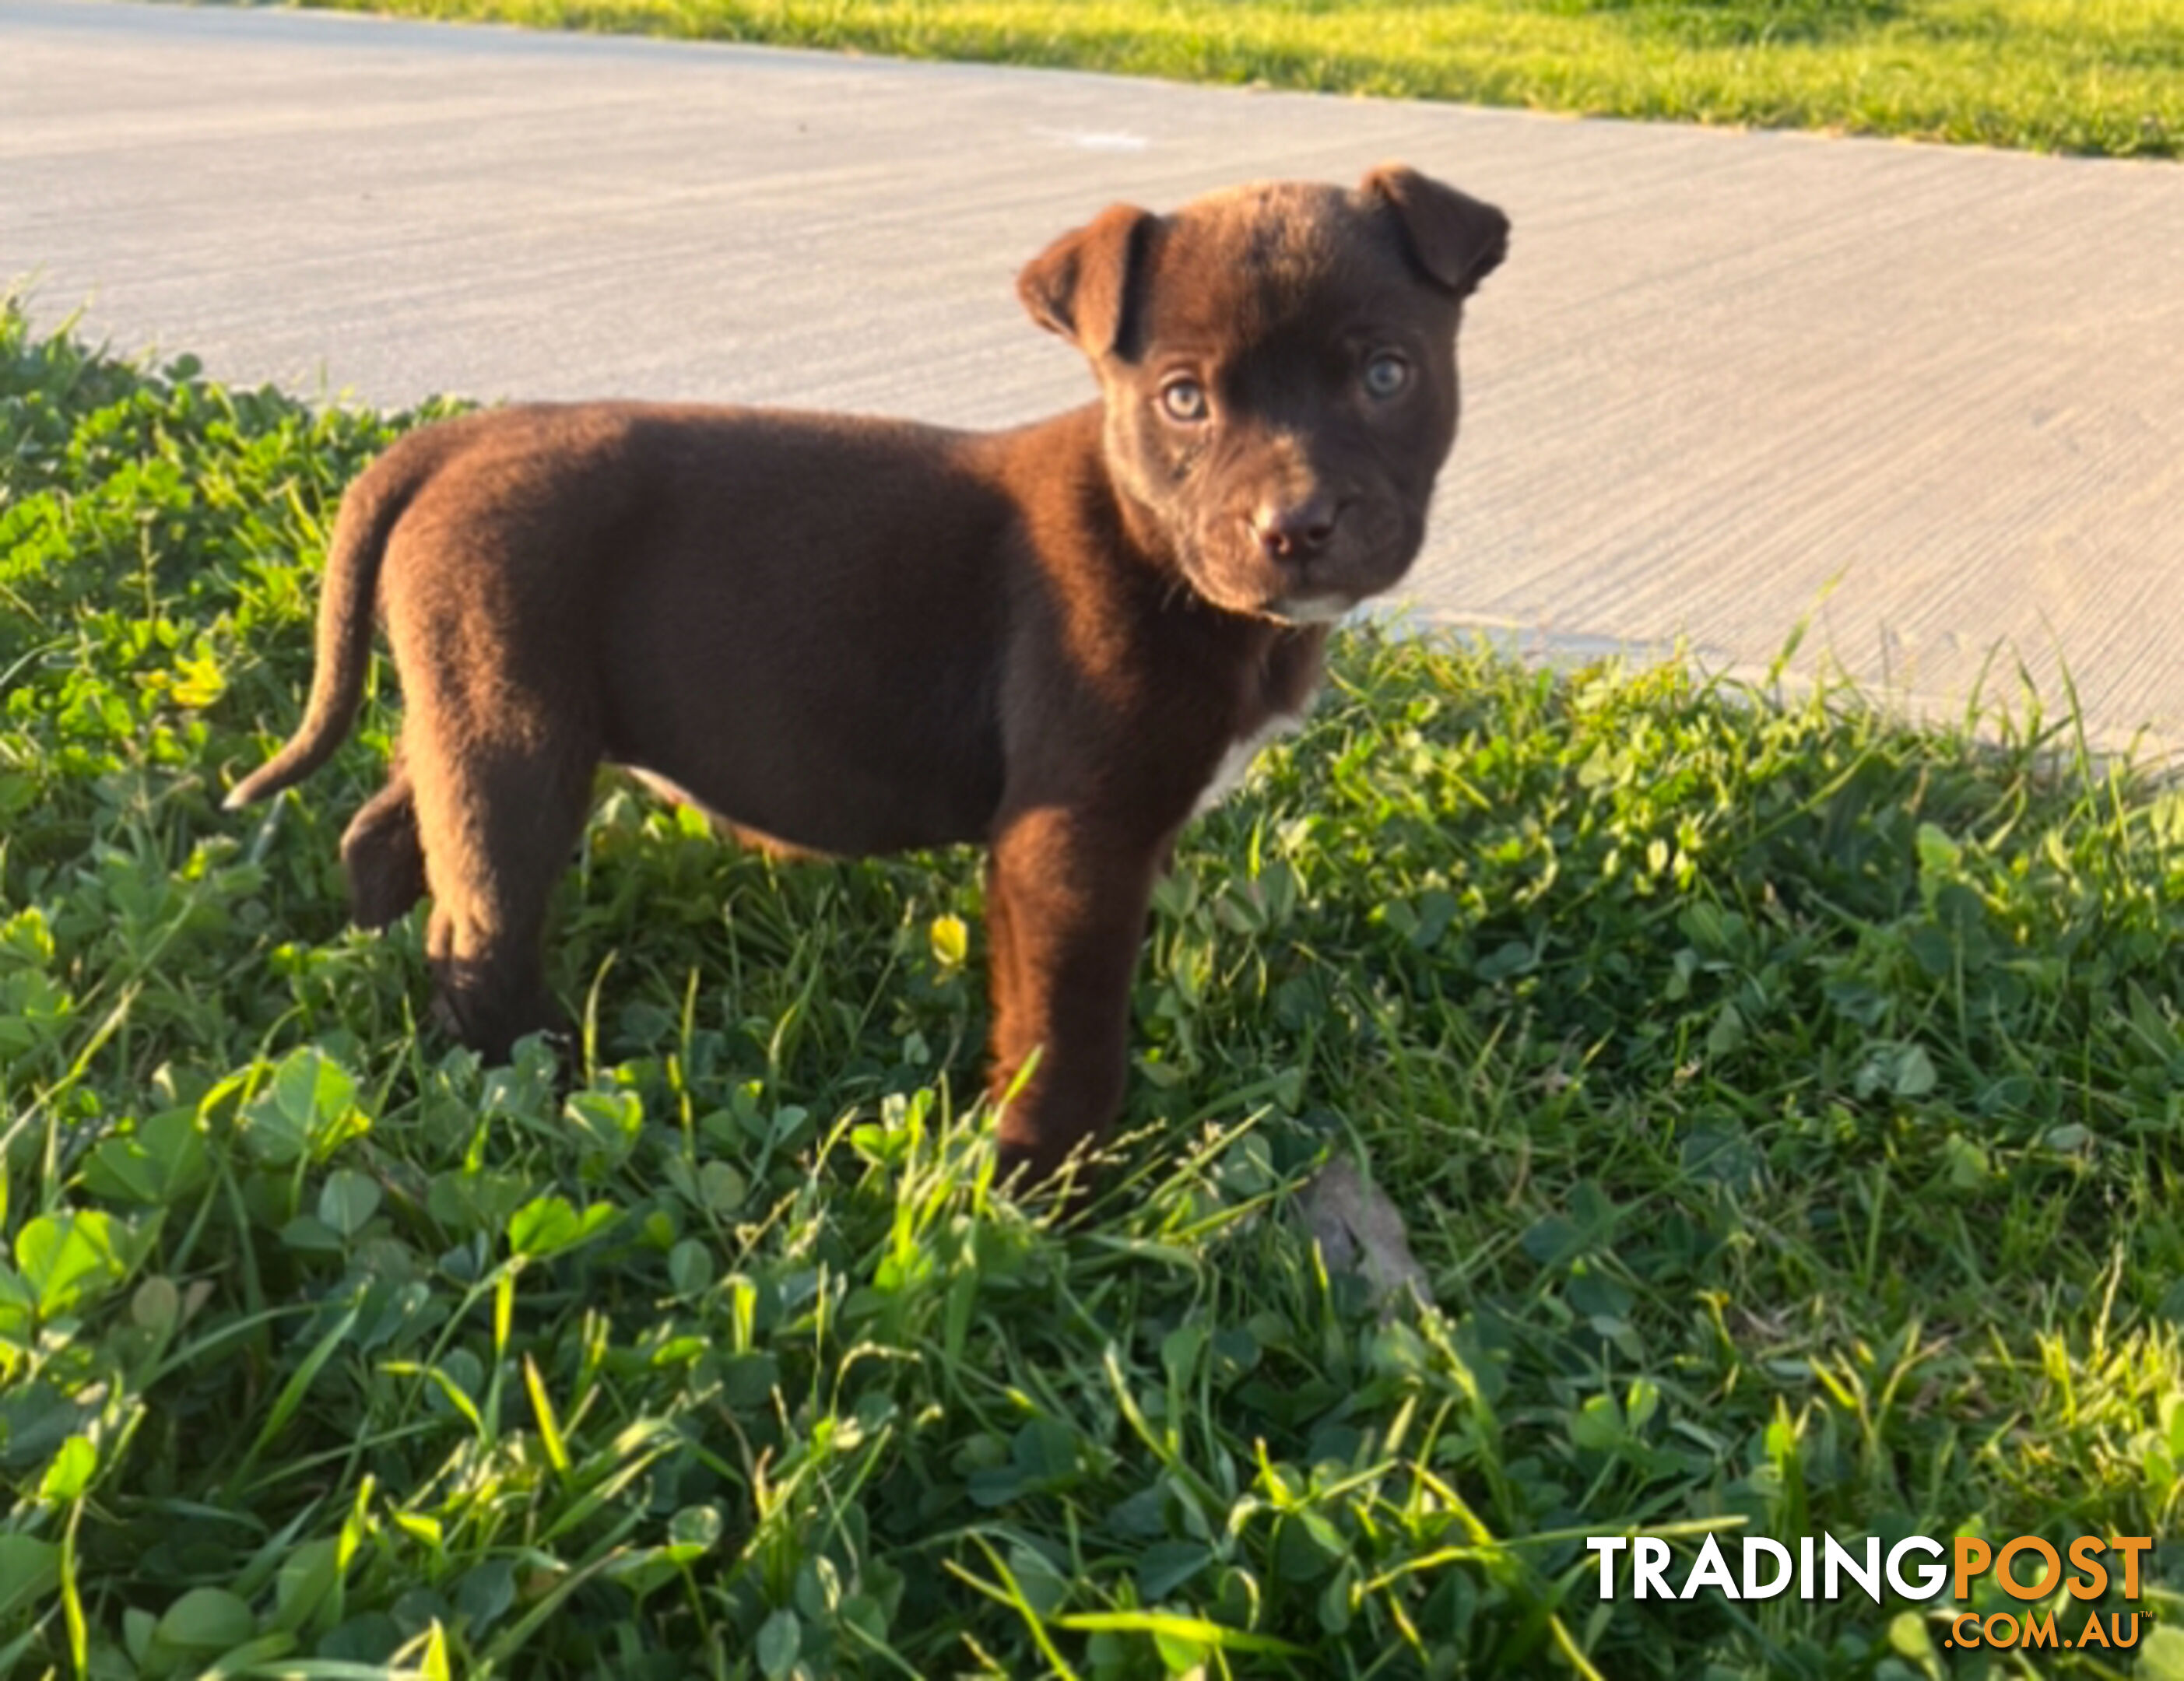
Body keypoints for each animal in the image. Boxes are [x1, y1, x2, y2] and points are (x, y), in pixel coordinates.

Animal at [230, 160, 1511, 1178]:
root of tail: (458, 438)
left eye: (1385, 375)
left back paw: (365, 961)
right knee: (479, 927)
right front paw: (1045, 1187)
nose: (1296, 527)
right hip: (517, 737)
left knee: (390, 833)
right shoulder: (1072, 843)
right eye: (1184, 400)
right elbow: (1070, 1035)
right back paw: (541, 1080)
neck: (1158, 554)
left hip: (467, 700)